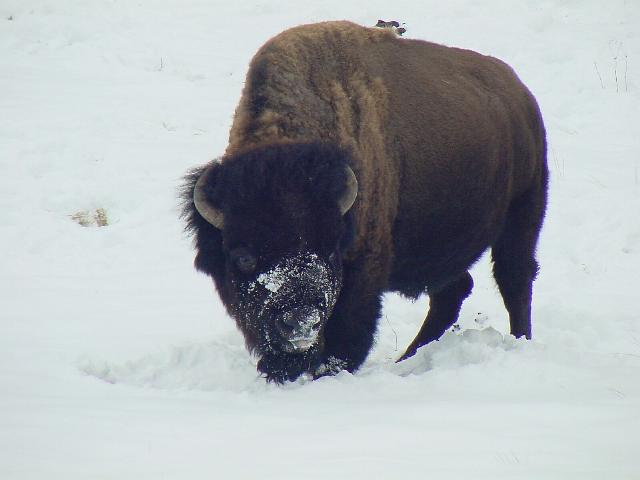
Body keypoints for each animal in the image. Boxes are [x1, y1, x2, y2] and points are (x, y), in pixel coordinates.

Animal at [182, 21, 548, 382]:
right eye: (243, 257)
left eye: (329, 250)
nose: (301, 322)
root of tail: (520, 93)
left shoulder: (362, 276)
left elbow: (347, 337)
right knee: (453, 291)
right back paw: (407, 359)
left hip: (524, 213)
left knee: (514, 277)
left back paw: (520, 341)